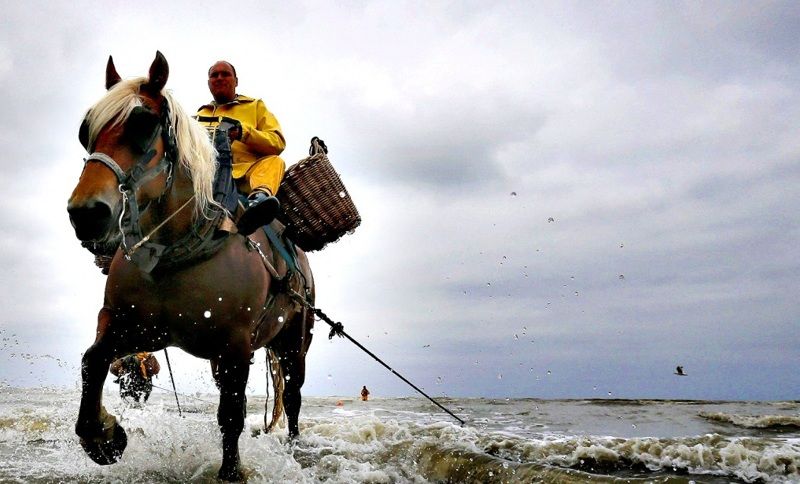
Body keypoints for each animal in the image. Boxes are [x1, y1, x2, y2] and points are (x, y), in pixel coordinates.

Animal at [66, 53, 316, 480]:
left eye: (143, 123)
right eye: (86, 131)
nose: (86, 213)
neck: (173, 253)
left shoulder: (235, 344)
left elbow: (231, 416)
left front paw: (230, 472)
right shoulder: (132, 325)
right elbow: (93, 360)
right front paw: (104, 436)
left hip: (292, 343)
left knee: (295, 394)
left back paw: (295, 446)